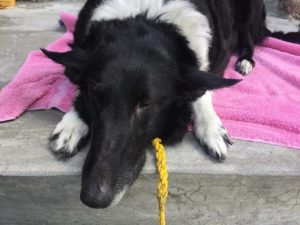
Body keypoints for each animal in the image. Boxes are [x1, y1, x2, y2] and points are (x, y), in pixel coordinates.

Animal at [42, 0, 288, 208]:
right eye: (96, 97)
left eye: (145, 104)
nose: (94, 198)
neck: (146, 13)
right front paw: (72, 125)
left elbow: (202, 89)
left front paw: (210, 127)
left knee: (248, 40)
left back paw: (245, 62)